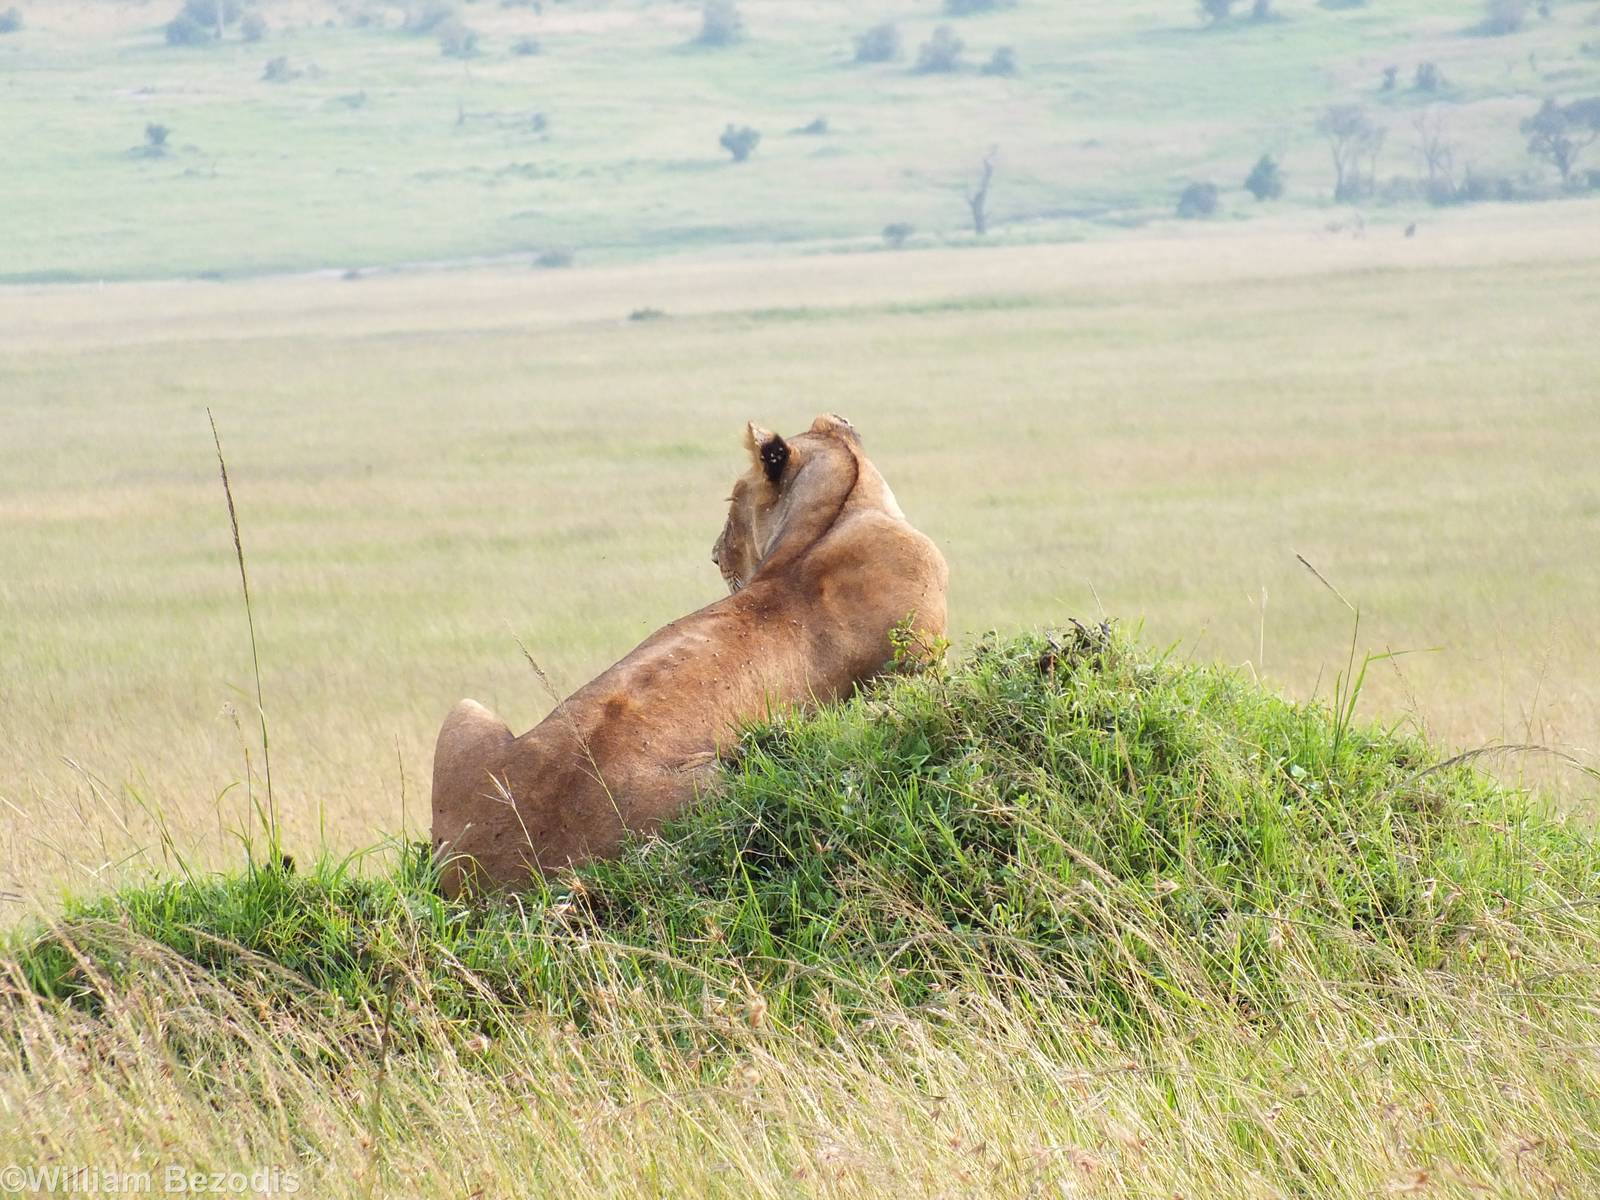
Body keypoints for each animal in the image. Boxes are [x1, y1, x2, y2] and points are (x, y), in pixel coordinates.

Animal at [430, 414, 948, 894]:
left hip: (465, 710)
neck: (829, 518)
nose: (715, 556)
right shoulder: (919, 667)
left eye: (732, 501)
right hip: (726, 784)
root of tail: (500, 877)